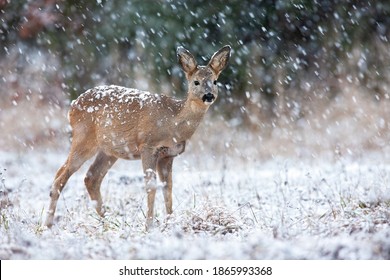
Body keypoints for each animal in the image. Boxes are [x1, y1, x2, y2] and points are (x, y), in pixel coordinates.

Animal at [44, 45, 230, 230]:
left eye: (215, 81)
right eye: (196, 82)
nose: (208, 95)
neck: (173, 122)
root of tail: (72, 106)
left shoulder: (168, 155)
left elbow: (168, 188)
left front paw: (170, 221)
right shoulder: (147, 146)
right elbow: (151, 186)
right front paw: (149, 225)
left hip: (109, 150)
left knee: (89, 177)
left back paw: (109, 221)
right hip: (84, 139)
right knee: (61, 178)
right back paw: (48, 224)